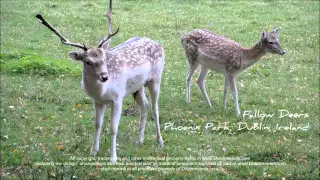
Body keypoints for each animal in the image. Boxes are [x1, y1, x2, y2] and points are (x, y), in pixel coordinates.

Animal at [36, 0, 164, 163]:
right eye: (88, 61)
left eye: (104, 57)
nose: (104, 76)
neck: (102, 91)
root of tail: (159, 44)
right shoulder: (97, 101)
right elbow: (97, 124)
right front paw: (93, 151)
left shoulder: (117, 98)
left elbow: (113, 128)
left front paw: (113, 158)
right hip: (137, 87)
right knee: (145, 106)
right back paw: (139, 141)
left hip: (156, 78)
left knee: (155, 108)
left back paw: (160, 141)